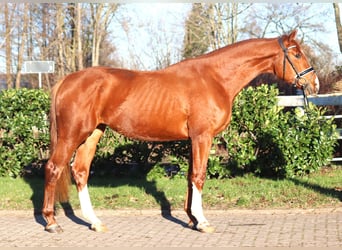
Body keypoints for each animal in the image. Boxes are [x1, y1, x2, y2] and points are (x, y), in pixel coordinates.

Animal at [42, 30, 318, 233]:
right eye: (296, 53)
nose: (313, 83)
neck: (215, 78)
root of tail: (67, 80)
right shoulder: (202, 137)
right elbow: (199, 175)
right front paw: (202, 222)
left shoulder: (193, 139)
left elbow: (190, 176)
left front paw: (191, 219)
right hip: (72, 134)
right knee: (54, 168)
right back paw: (51, 222)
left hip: (92, 134)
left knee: (80, 171)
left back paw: (95, 222)